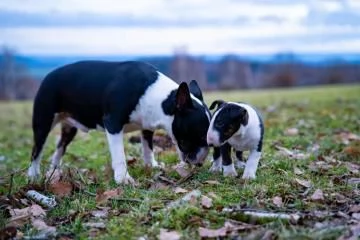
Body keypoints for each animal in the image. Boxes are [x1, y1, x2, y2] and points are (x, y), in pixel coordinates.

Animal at [28, 60, 211, 184]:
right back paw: (33, 175)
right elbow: (119, 155)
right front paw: (123, 178)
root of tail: (49, 75)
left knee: (60, 147)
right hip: (43, 121)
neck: (161, 99)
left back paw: (54, 172)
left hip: (69, 128)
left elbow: (148, 148)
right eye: (201, 136)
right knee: (37, 150)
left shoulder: (147, 126)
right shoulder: (113, 123)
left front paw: (151, 165)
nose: (200, 163)